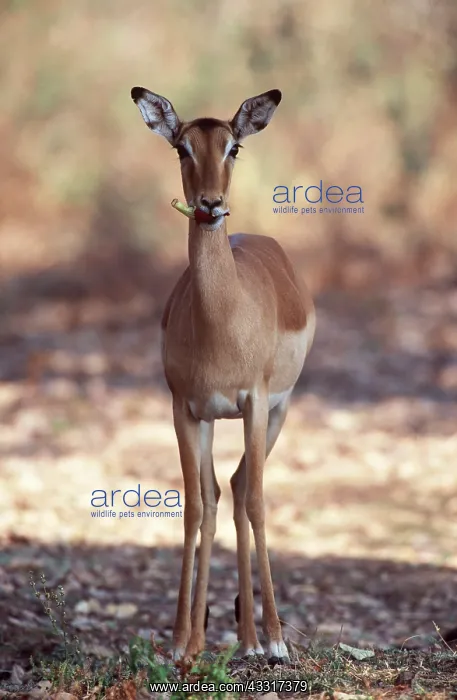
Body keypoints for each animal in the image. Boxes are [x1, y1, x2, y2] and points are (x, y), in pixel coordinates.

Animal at [131, 86, 315, 665]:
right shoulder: (185, 409)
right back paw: (224, 635)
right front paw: (180, 643)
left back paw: (257, 639)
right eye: (181, 147)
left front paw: (277, 641)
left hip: (278, 413)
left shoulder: (253, 402)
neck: (220, 320)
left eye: (234, 147)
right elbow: (195, 506)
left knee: (242, 490)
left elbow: (256, 501)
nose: (210, 205)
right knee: (220, 493)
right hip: (220, 421)